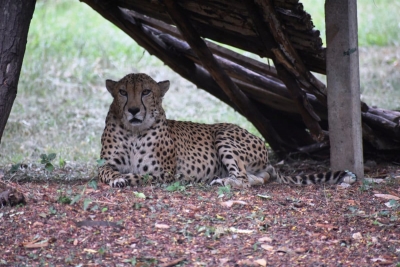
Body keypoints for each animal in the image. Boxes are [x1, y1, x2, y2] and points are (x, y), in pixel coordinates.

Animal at [99, 74, 356, 188]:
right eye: (122, 92)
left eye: (146, 92)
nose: (133, 110)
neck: (134, 132)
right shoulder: (106, 164)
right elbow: (106, 172)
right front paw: (117, 179)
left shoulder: (164, 173)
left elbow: (140, 175)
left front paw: (125, 179)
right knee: (256, 179)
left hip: (224, 136)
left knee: (242, 179)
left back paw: (223, 181)